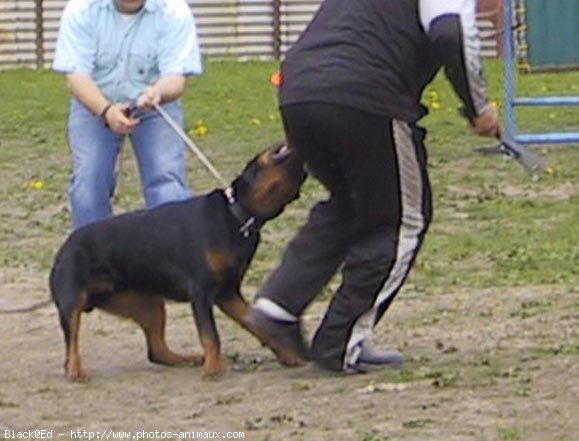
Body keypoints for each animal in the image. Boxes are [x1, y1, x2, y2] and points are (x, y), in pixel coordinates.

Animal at [49, 143, 308, 380]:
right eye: (275, 150)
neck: (237, 216)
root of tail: (64, 247)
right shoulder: (201, 292)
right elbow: (211, 335)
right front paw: (213, 369)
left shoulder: (228, 294)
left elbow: (259, 326)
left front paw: (286, 355)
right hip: (72, 302)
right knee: (71, 348)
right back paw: (75, 371)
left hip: (148, 306)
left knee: (156, 351)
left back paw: (187, 359)